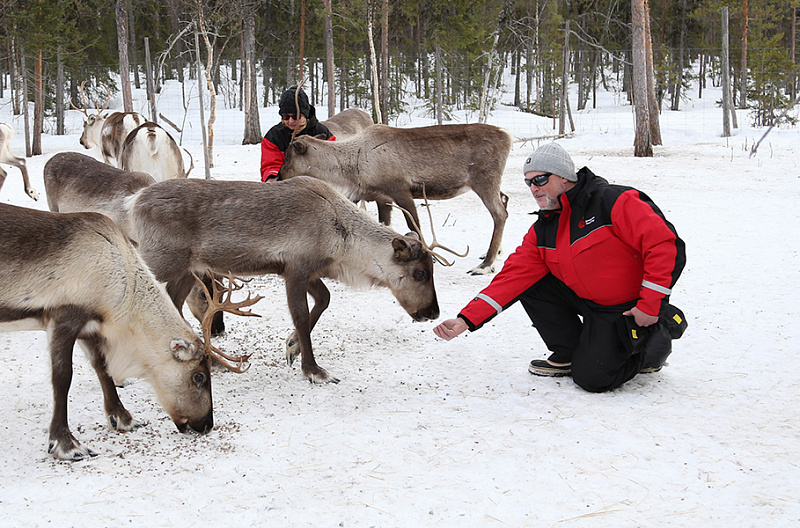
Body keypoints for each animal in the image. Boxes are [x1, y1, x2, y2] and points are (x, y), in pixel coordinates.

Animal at [0, 203, 259, 460]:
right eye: (199, 376)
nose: (206, 424)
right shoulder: (63, 317)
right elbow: (62, 378)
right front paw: (65, 444)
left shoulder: (89, 326)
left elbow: (102, 367)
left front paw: (122, 418)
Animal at [277, 123, 513, 275]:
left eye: (288, 155)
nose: (277, 177)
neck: (354, 167)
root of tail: (508, 135)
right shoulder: (382, 198)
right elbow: (383, 224)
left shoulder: (400, 190)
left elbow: (414, 225)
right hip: (492, 184)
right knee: (505, 201)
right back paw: (493, 254)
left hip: (485, 180)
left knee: (499, 214)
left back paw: (485, 265)